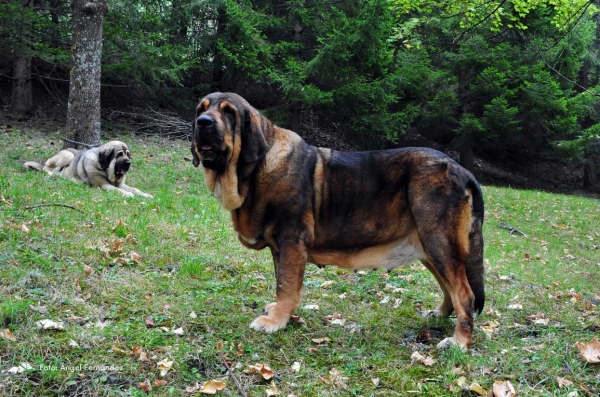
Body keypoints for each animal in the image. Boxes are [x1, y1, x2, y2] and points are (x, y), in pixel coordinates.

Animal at [193, 92, 488, 346]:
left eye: (228, 112)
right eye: (201, 109)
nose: (202, 122)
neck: (256, 169)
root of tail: (463, 171)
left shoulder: (291, 243)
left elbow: (286, 286)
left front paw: (276, 321)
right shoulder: (280, 249)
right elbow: (282, 283)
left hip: (439, 242)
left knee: (464, 294)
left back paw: (459, 342)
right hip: (431, 247)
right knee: (450, 288)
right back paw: (440, 315)